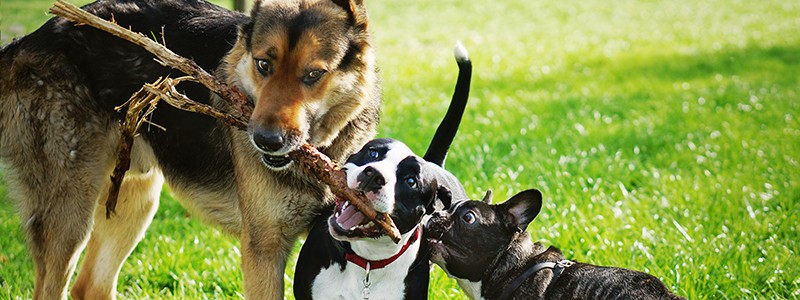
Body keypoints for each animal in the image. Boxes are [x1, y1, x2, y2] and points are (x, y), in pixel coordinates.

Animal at [0, 0, 382, 298]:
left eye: (314, 74)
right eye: (263, 65)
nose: (265, 140)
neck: (324, 152)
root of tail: (28, 40)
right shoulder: (264, 251)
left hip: (134, 199)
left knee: (90, 287)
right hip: (70, 218)